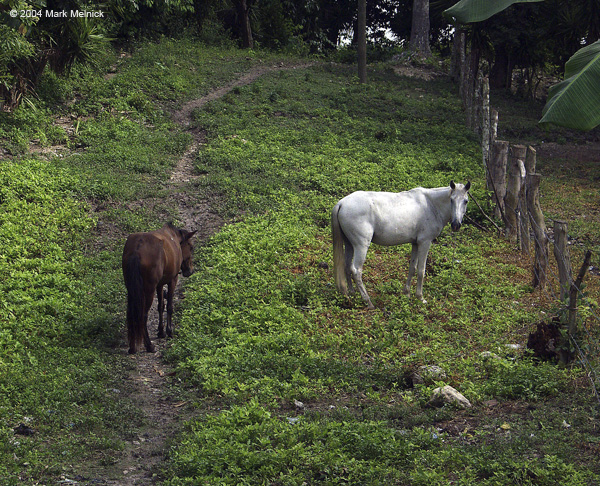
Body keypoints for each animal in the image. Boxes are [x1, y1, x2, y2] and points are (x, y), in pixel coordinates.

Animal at [122, 223, 197, 354]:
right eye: (191, 247)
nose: (190, 271)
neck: (175, 238)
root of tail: (137, 250)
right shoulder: (172, 280)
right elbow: (169, 306)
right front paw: (169, 331)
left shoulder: (160, 284)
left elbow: (160, 306)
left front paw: (161, 331)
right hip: (148, 290)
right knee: (143, 315)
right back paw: (149, 345)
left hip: (132, 290)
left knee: (131, 314)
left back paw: (132, 347)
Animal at [332, 182, 468, 308]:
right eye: (451, 200)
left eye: (465, 201)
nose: (456, 225)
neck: (431, 204)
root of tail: (342, 203)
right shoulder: (425, 242)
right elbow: (421, 270)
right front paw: (420, 297)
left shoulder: (415, 243)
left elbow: (412, 268)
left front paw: (406, 293)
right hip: (361, 246)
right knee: (356, 270)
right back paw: (368, 301)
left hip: (349, 244)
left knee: (347, 266)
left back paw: (352, 294)